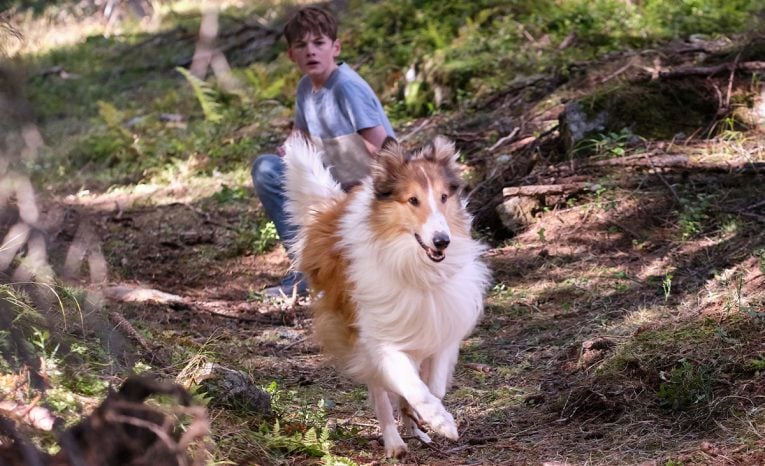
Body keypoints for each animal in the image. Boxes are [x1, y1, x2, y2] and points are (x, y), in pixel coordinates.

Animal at [282, 133, 490, 456]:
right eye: (413, 200)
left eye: (444, 197)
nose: (442, 241)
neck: (414, 264)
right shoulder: (381, 340)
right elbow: (413, 386)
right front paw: (441, 421)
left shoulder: (443, 323)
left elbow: (434, 385)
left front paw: (427, 415)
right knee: (380, 395)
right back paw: (395, 442)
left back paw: (414, 426)